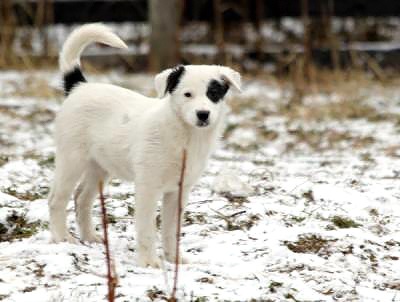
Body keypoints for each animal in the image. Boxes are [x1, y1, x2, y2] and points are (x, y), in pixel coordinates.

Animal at [47, 23, 241, 268]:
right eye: (187, 94)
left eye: (213, 93)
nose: (203, 114)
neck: (184, 134)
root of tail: (79, 87)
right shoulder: (148, 187)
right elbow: (147, 228)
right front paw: (149, 262)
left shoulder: (179, 191)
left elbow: (171, 229)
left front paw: (174, 259)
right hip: (72, 160)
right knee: (57, 199)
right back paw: (62, 238)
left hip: (99, 166)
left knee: (82, 198)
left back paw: (90, 237)